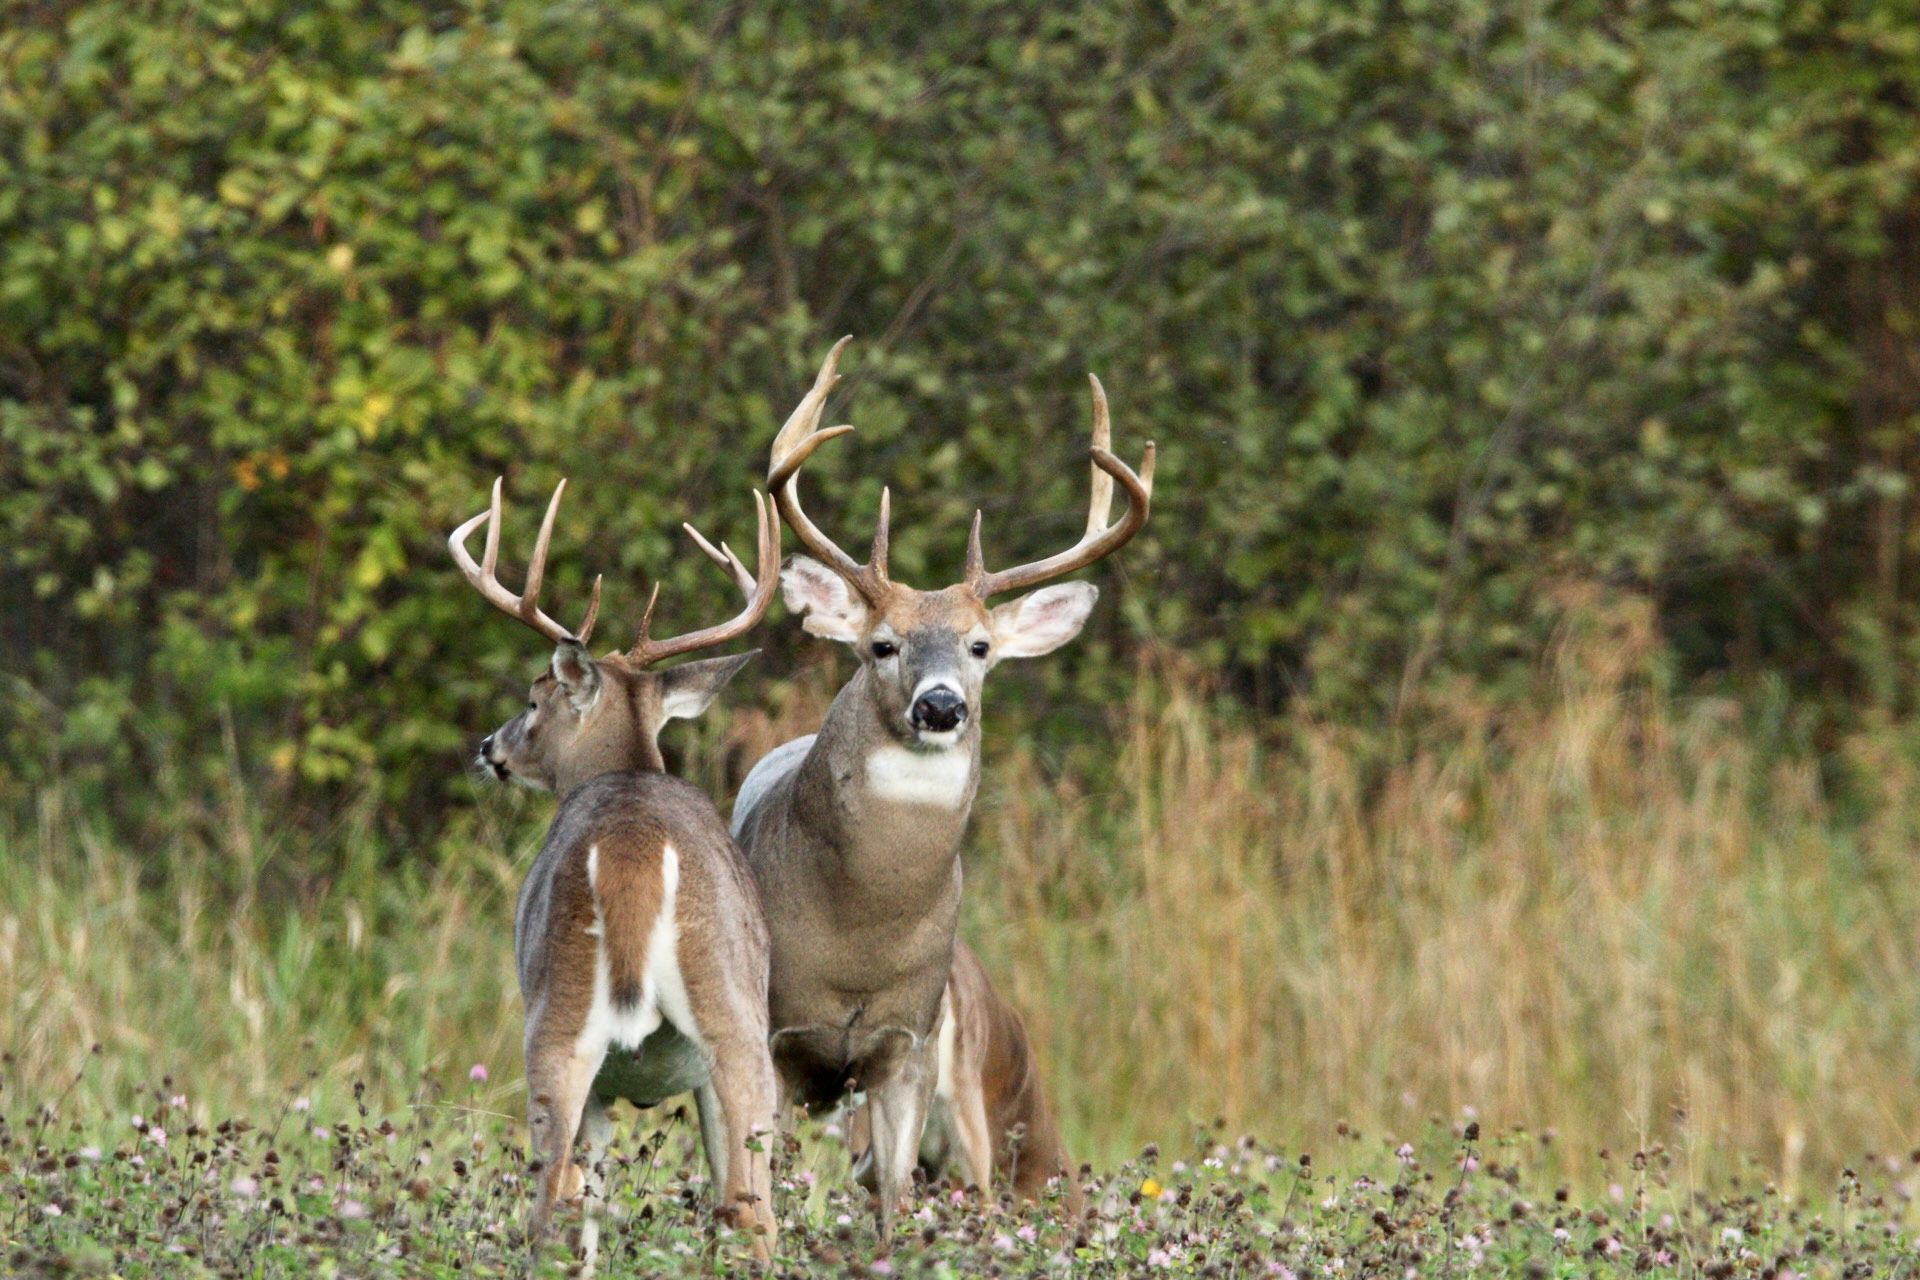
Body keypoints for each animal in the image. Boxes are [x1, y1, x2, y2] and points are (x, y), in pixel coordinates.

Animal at [453, 477, 783, 1274]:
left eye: (535, 698)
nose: (489, 746)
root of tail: (636, 849)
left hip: (566, 1018)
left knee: (553, 1207)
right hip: (727, 1024)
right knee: (746, 1211)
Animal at [729, 335, 1152, 1235]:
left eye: (981, 646)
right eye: (882, 644)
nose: (941, 705)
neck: (861, 934)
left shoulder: (908, 1044)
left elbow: (891, 1196)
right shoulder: (778, 1037)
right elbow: (769, 1176)